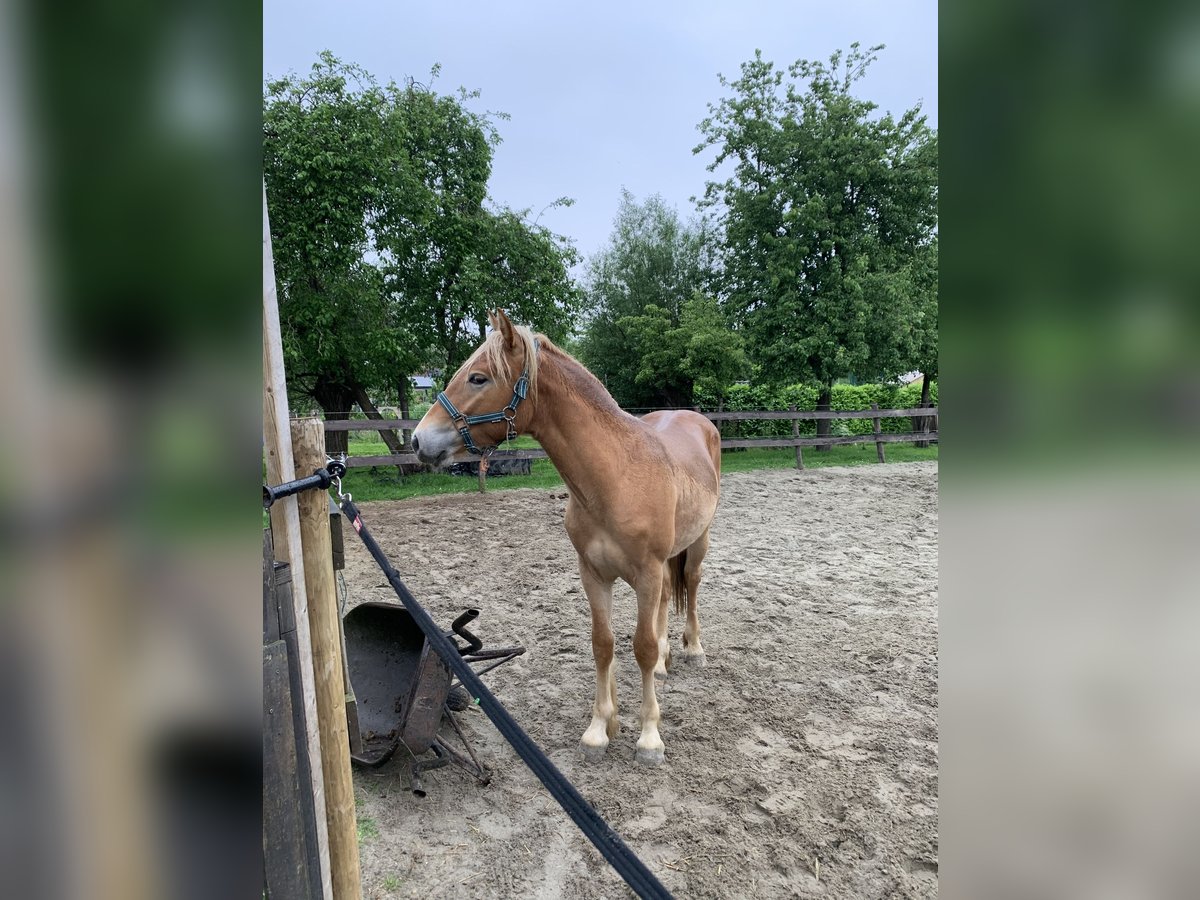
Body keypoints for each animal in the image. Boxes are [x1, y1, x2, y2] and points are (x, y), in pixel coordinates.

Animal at [410, 309, 720, 768]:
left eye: (479, 378)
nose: (418, 440)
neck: (617, 477)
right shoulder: (593, 574)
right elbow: (603, 644)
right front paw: (600, 729)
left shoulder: (645, 573)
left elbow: (641, 647)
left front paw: (649, 738)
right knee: (668, 598)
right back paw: (666, 661)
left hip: (697, 544)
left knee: (692, 586)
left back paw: (692, 650)